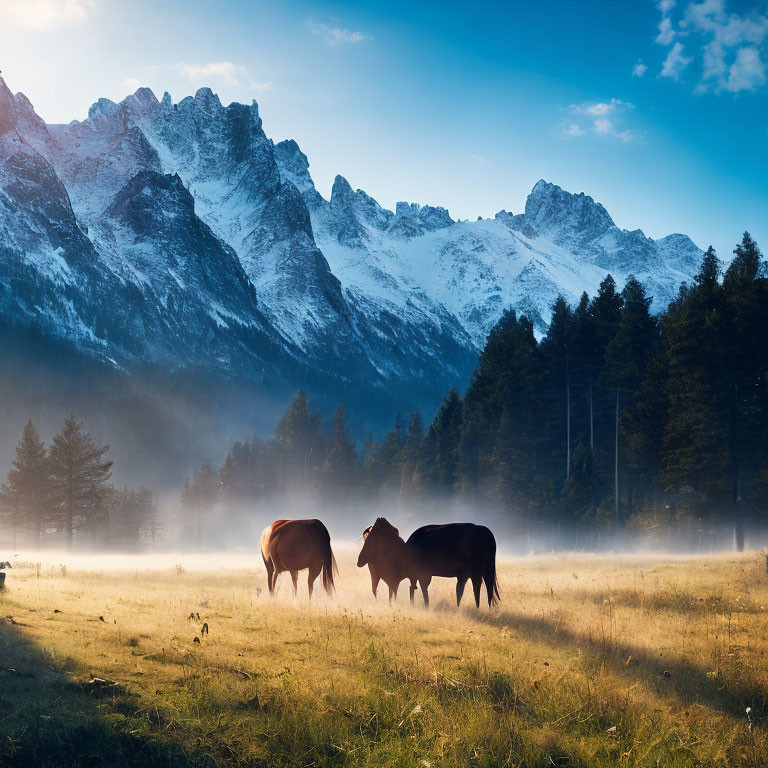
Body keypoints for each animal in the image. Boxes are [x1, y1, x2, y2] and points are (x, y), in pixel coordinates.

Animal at [356, 520, 500, 608]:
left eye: (370, 541)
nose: (359, 560)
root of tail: (487, 534)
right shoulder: (415, 576)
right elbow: (412, 589)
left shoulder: (423, 574)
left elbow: (424, 593)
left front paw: (424, 606)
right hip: (482, 571)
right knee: (481, 589)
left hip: (478, 571)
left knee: (479, 588)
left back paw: (478, 607)